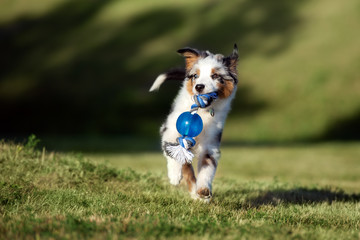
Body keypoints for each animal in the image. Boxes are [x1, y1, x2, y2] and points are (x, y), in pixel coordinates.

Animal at [149, 45, 239, 202]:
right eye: (196, 76)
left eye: (215, 76)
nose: (199, 87)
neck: (201, 113)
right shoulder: (169, 131)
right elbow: (173, 152)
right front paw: (174, 176)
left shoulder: (210, 144)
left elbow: (207, 167)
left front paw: (203, 191)